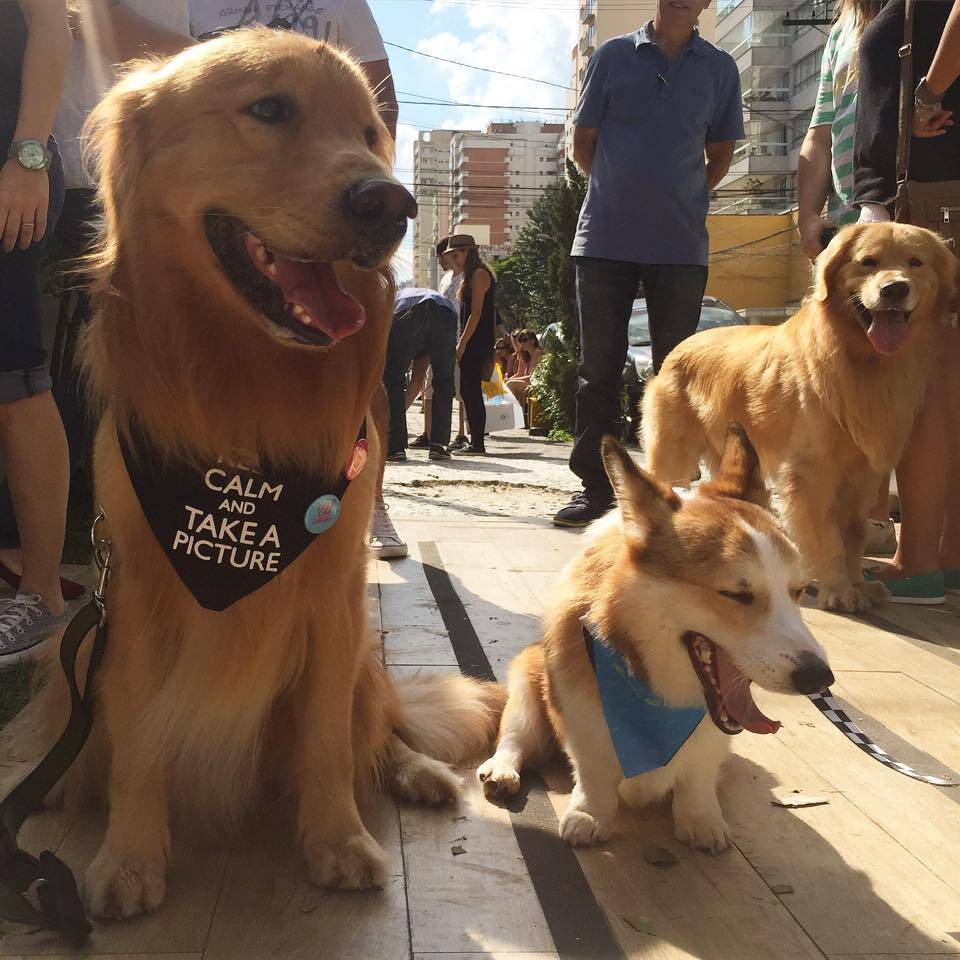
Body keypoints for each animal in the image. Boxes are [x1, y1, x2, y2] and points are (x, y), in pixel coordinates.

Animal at [33, 28, 506, 916]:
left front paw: (336, 838)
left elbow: (327, 740)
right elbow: (138, 741)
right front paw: (130, 854)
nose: (393, 203)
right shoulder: (136, 600)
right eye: (269, 109)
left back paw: (416, 771)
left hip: (364, 658)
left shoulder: (331, 599)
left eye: (369, 133)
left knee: (376, 725)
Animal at [480, 424, 832, 852]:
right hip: (527, 689)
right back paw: (501, 771)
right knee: (516, 738)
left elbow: (697, 778)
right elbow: (594, 772)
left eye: (798, 591)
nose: (821, 679)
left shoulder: (709, 741)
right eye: (736, 594)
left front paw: (701, 820)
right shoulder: (584, 720)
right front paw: (588, 816)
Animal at [640, 222, 956, 612]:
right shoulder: (812, 474)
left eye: (916, 263)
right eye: (868, 261)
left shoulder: (863, 475)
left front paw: (857, 583)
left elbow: (853, 535)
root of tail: (682, 344)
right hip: (673, 453)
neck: (861, 360)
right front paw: (839, 589)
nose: (895, 289)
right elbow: (829, 539)